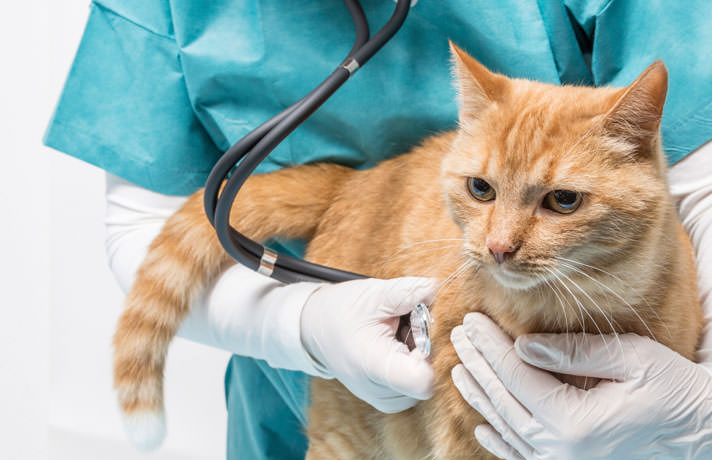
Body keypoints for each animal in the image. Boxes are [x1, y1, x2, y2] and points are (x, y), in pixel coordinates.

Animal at [114, 44, 704, 460]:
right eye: (481, 189)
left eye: (563, 201)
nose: (498, 247)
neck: (571, 318)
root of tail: (353, 180)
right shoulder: (469, 439)